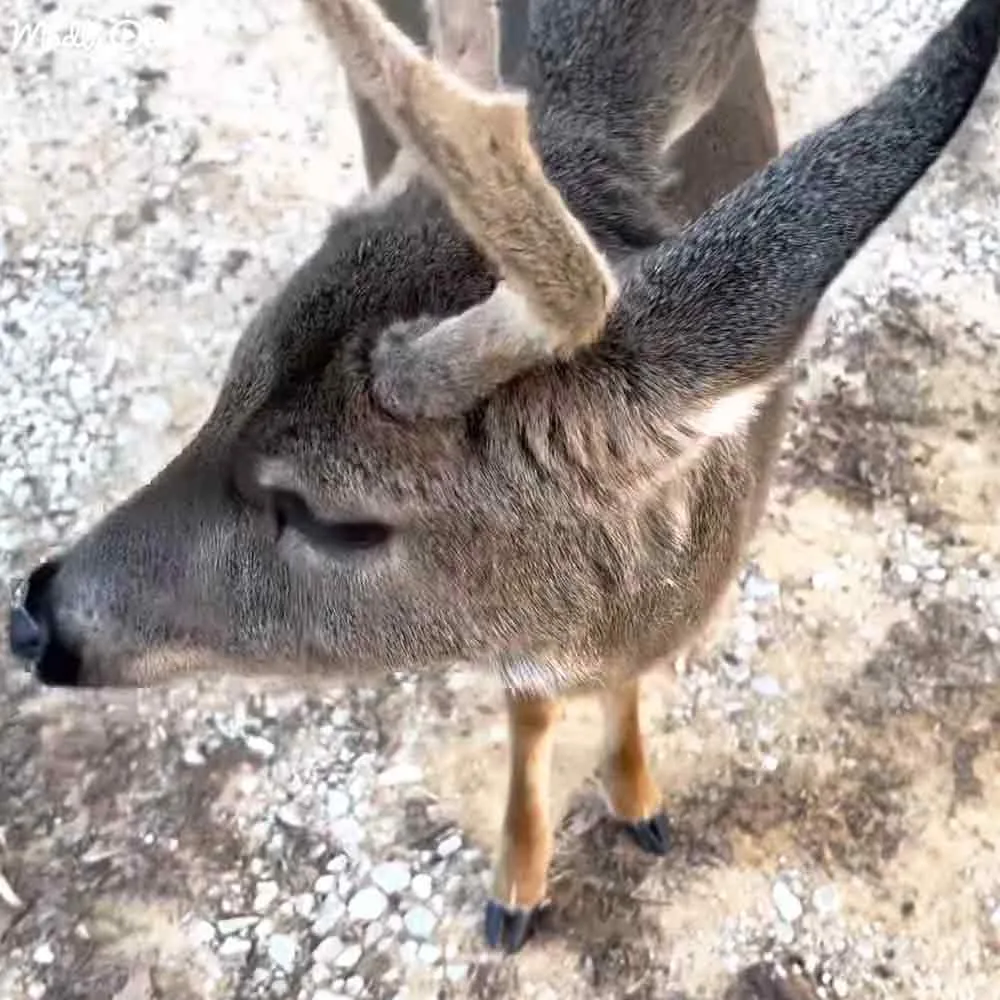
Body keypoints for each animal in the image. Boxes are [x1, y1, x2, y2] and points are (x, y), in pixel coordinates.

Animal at [7, 0, 999, 955]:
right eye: (228, 383)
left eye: (336, 519)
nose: (36, 615)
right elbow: (530, 719)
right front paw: (517, 889)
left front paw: (637, 800)